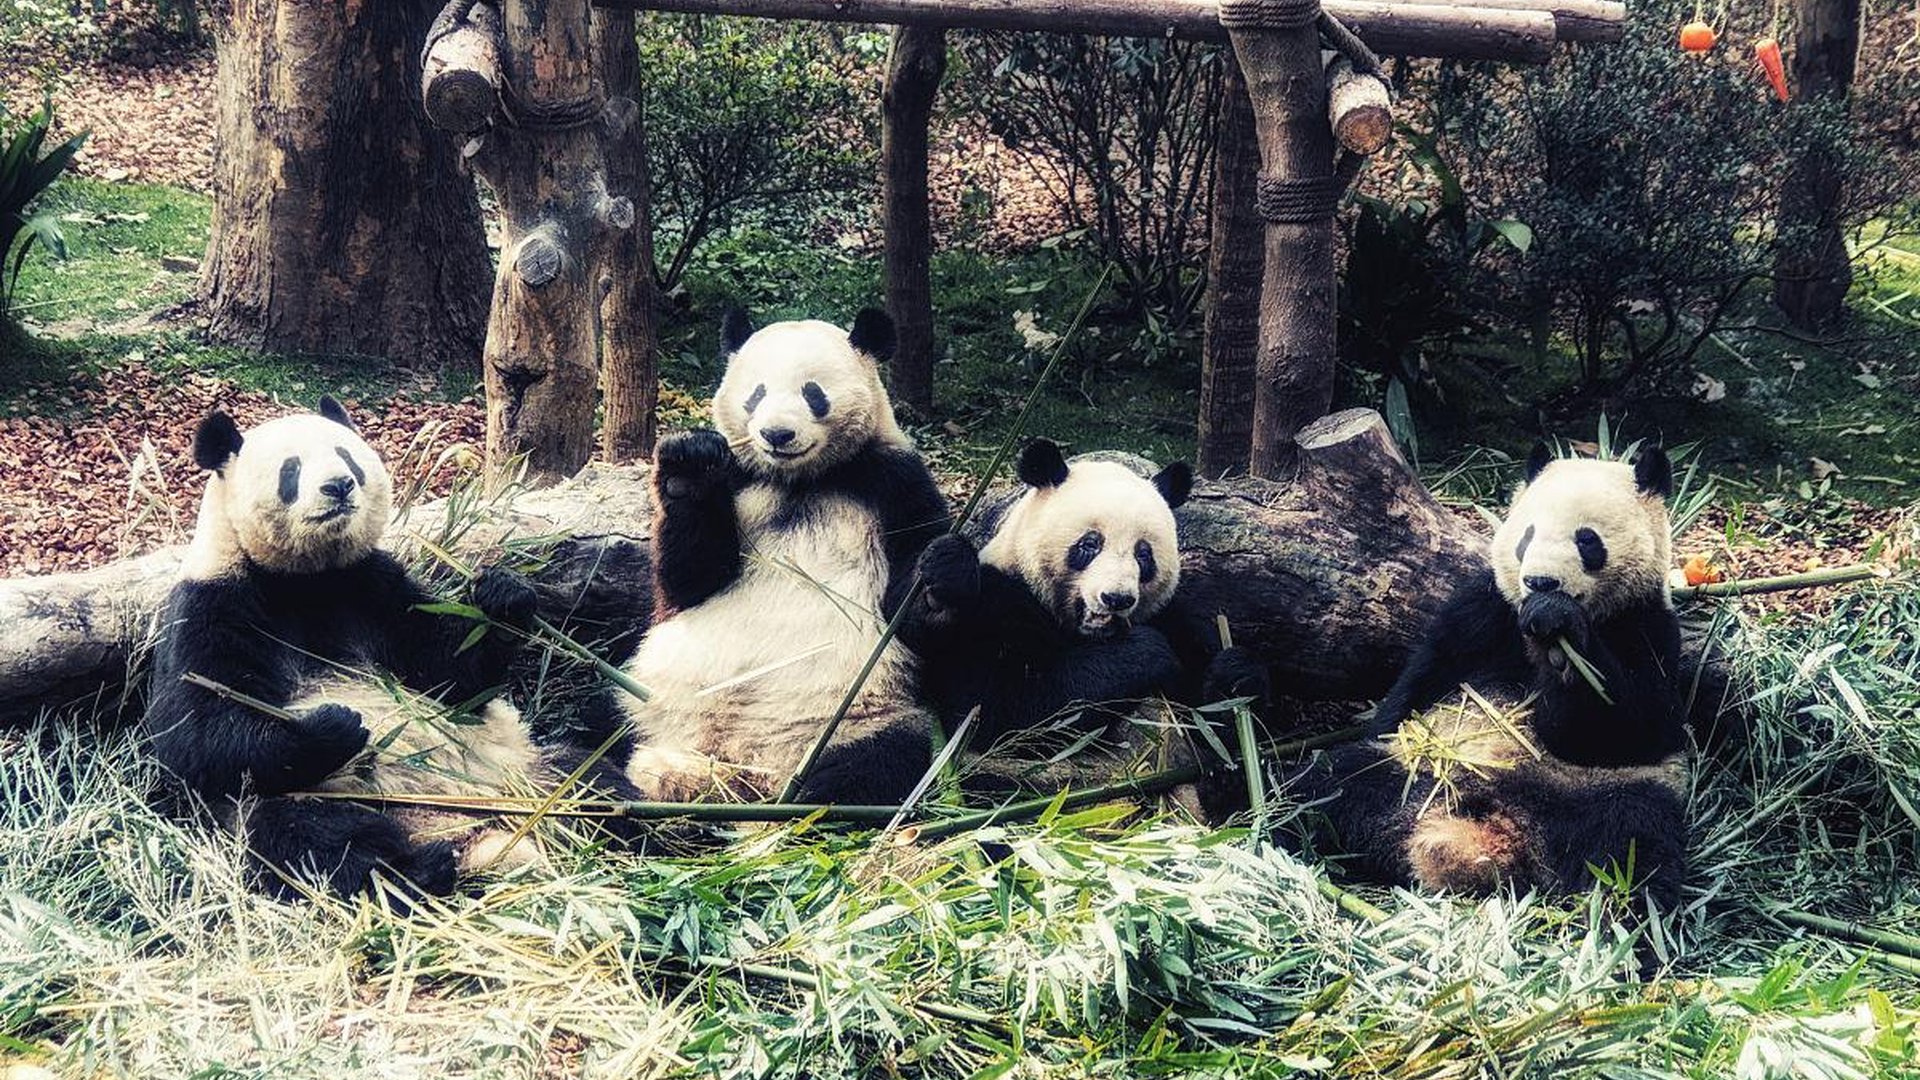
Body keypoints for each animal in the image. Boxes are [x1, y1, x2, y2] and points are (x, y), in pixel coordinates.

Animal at [143, 398, 641, 903]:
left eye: (347, 457)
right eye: (291, 470)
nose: (339, 485)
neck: (306, 580)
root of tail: (471, 828)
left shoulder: (372, 585)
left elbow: (449, 675)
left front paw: (504, 598)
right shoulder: (215, 602)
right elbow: (196, 737)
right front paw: (334, 725)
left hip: (520, 766)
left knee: (589, 779)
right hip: (336, 794)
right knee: (313, 835)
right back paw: (416, 870)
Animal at [619, 307, 952, 806]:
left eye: (813, 394)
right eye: (756, 394)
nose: (777, 434)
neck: (799, 481)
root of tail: (741, 773)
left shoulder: (892, 481)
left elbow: (907, 599)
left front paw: (938, 578)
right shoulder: (739, 479)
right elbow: (690, 577)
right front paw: (688, 465)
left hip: (858, 720)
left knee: (880, 762)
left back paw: (806, 797)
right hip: (646, 707)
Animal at [901, 439, 1261, 794]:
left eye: (1143, 554)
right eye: (1090, 544)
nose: (1116, 598)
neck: (1091, 634)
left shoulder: (1169, 615)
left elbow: (1211, 724)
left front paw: (1235, 676)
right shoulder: (998, 606)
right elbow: (1004, 713)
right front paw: (1145, 651)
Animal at [1286, 444, 1687, 905]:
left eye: (1587, 539)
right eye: (1527, 536)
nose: (1540, 582)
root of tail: (1493, 832)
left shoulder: (1647, 626)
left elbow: (1629, 727)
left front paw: (1562, 639)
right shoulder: (1485, 609)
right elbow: (1425, 676)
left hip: (1602, 793)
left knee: (1629, 843)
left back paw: (1621, 911)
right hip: (1417, 773)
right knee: (1332, 786)